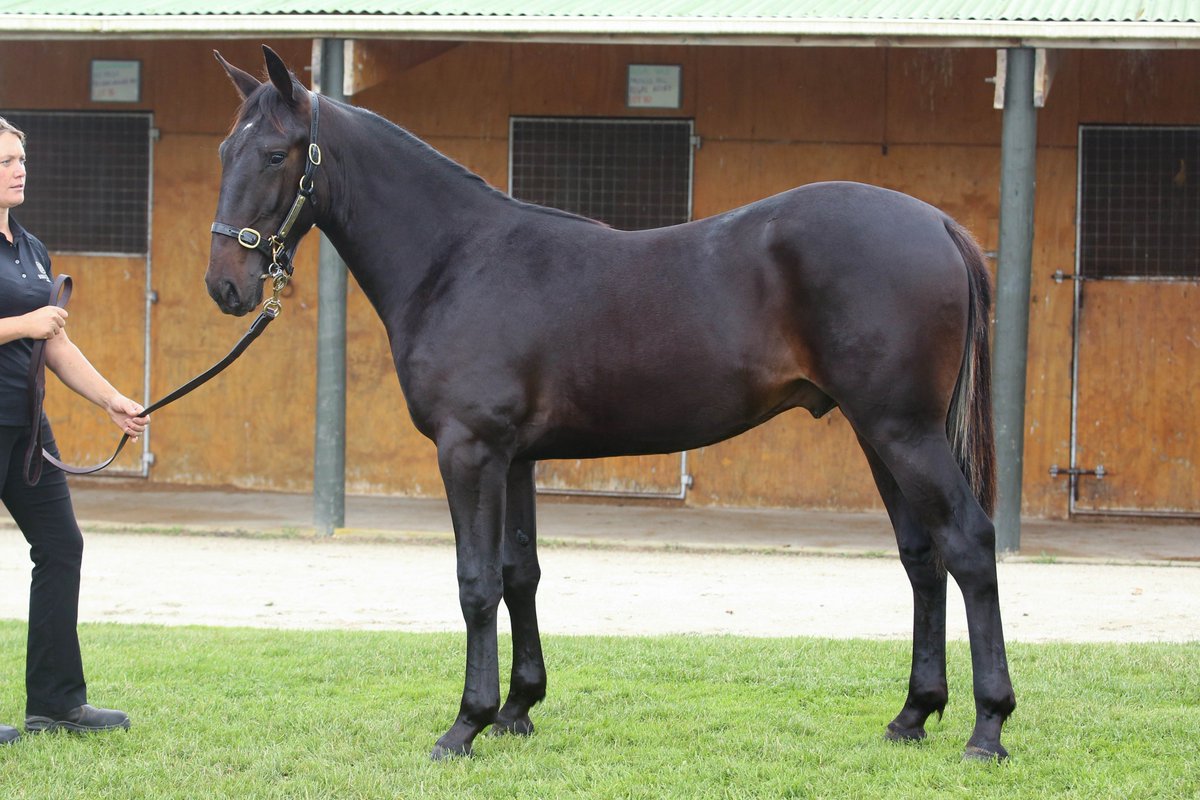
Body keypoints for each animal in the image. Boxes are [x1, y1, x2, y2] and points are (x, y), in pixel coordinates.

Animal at [206, 46, 1015, 762]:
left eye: (276, 154)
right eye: (224, 150)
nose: (226, 286)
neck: (457, 261)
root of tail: (937, 224)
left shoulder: (470, 451)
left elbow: (475, 583)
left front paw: (466, 724)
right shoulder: (516, 459)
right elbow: (519, 573)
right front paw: (518, 709)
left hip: (903, 431)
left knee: (970, 545)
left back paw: (987, 729)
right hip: (881, 435)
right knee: (922, 558)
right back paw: (913, 716)